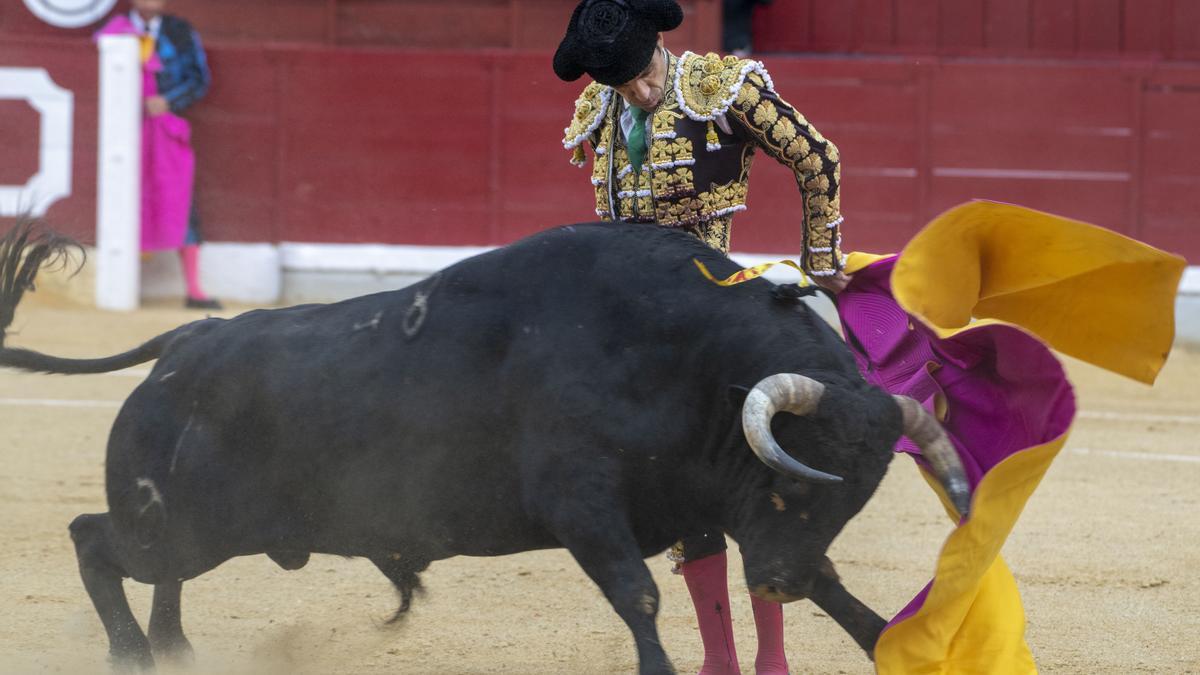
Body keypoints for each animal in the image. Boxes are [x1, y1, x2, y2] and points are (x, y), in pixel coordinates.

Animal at [0, 220, 969, 667]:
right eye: (794, 483)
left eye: (855, 496)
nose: (776, 581)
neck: (685, 360)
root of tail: (186, 343)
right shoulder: (586, 505)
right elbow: (640, 595)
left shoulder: (710, 499)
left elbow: (835, 588)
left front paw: (889, 641)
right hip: (181, 522)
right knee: (94, 539)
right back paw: (132, 652)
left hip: (196, 526)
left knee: (149, 567)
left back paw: (172, 648)